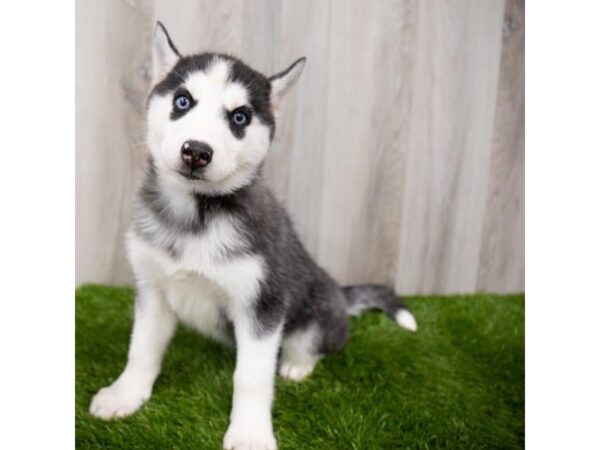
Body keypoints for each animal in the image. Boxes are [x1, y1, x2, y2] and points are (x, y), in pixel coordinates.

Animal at [90, 22, 418, 450]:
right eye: (182, 101)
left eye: (240, 117)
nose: (196, 151)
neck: (196, 216)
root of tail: (340, 295)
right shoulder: (153, 290)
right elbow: (141, 349)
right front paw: (125, 394)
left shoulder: (262, 305)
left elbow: (251, 376)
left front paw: (249, 432)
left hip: (317, 309)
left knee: (311, 344)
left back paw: (296, 365)